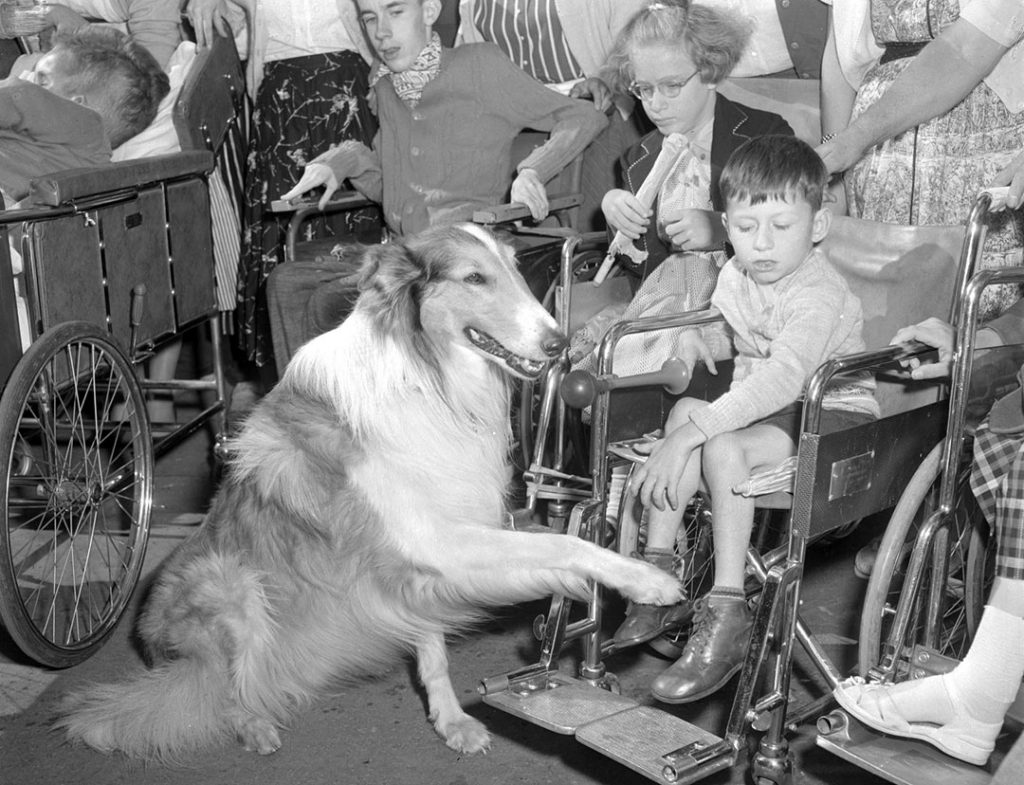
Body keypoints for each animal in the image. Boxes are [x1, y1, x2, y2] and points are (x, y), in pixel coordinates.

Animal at [54, 223, 679, 761]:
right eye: (474, 278)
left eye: (515, 269)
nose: (560, 344)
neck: (425, 374)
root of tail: (154, 647)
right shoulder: (434, 540)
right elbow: (560, 544)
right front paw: (644, 580)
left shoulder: (421, 563)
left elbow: (436, 646)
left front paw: (451, 721)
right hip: (232, 586)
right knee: (221, 693)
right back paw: (254, 723)